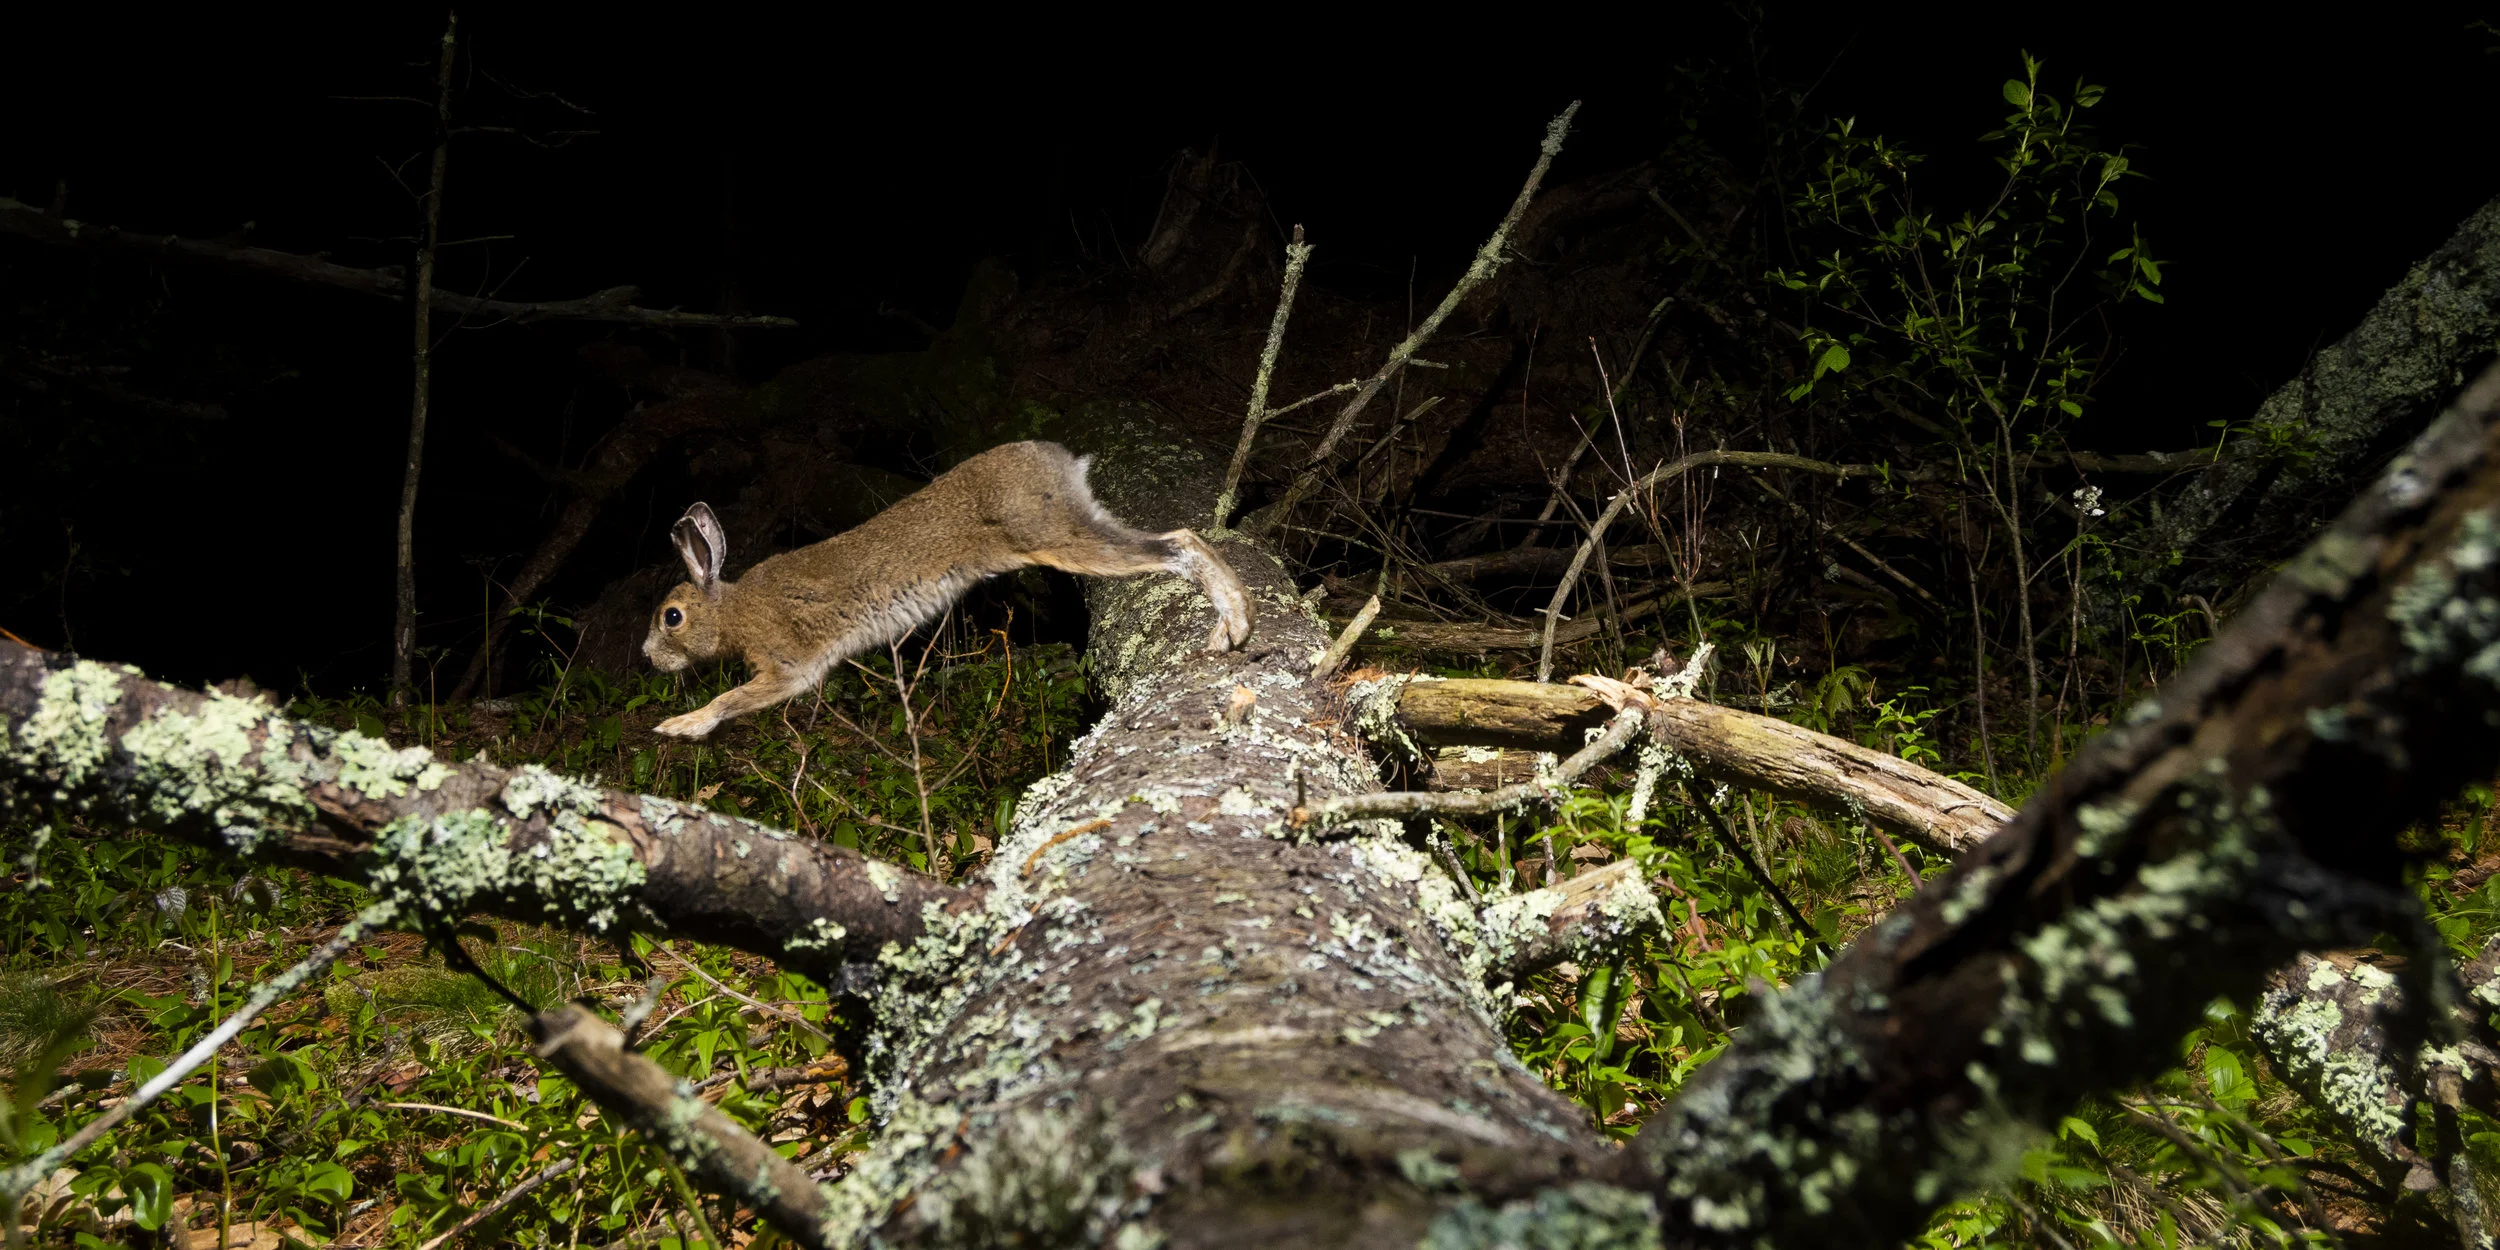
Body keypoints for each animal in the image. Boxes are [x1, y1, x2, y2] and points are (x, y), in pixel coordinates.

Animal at [642, 440, 1253, 739]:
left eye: (672, 616)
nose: (649, 656)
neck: (731, 610)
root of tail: (1058, 459)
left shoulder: (789, 668)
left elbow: (728, 700)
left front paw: (679, 728)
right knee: (1180, 537)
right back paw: (1231, 631)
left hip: (1056, 537)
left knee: (1178, 545)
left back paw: (1236, 626)